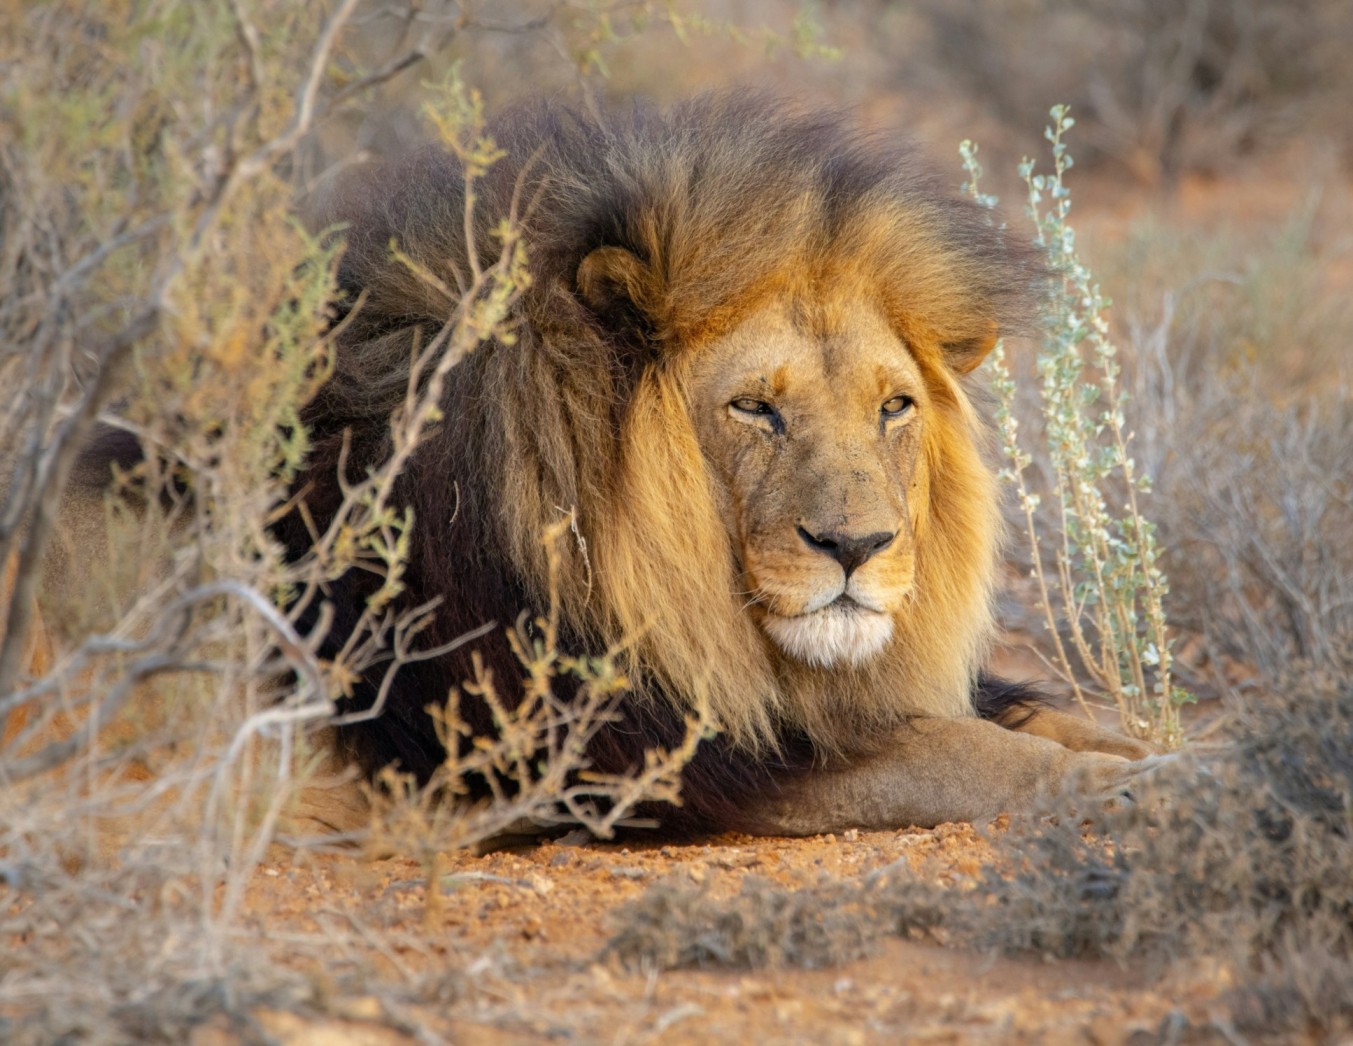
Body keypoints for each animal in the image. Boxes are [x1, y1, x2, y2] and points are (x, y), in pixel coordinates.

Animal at [264, 92, 1160, 836]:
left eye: (893, 407)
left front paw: (1171, 757)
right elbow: (969, 756)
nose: (856, 548)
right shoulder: (671, 760)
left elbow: (1059, 722)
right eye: (754, 409)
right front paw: (1131, 788)